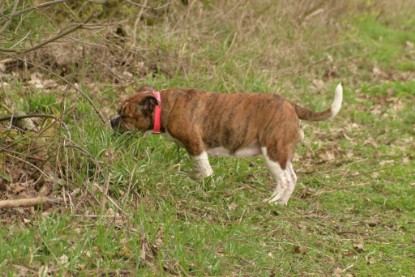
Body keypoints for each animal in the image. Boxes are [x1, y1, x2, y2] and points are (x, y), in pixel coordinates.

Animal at [111, 84, 344, 205]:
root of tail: (291, 105)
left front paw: (206, 185)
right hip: (281, 154)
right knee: (291, 177)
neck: (163, 106)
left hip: (272, 152)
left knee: (286, 180)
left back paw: (272, 202)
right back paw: (280, 202)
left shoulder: (195, 145)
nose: (111, 121)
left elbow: (206, 169)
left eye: (125, 115)